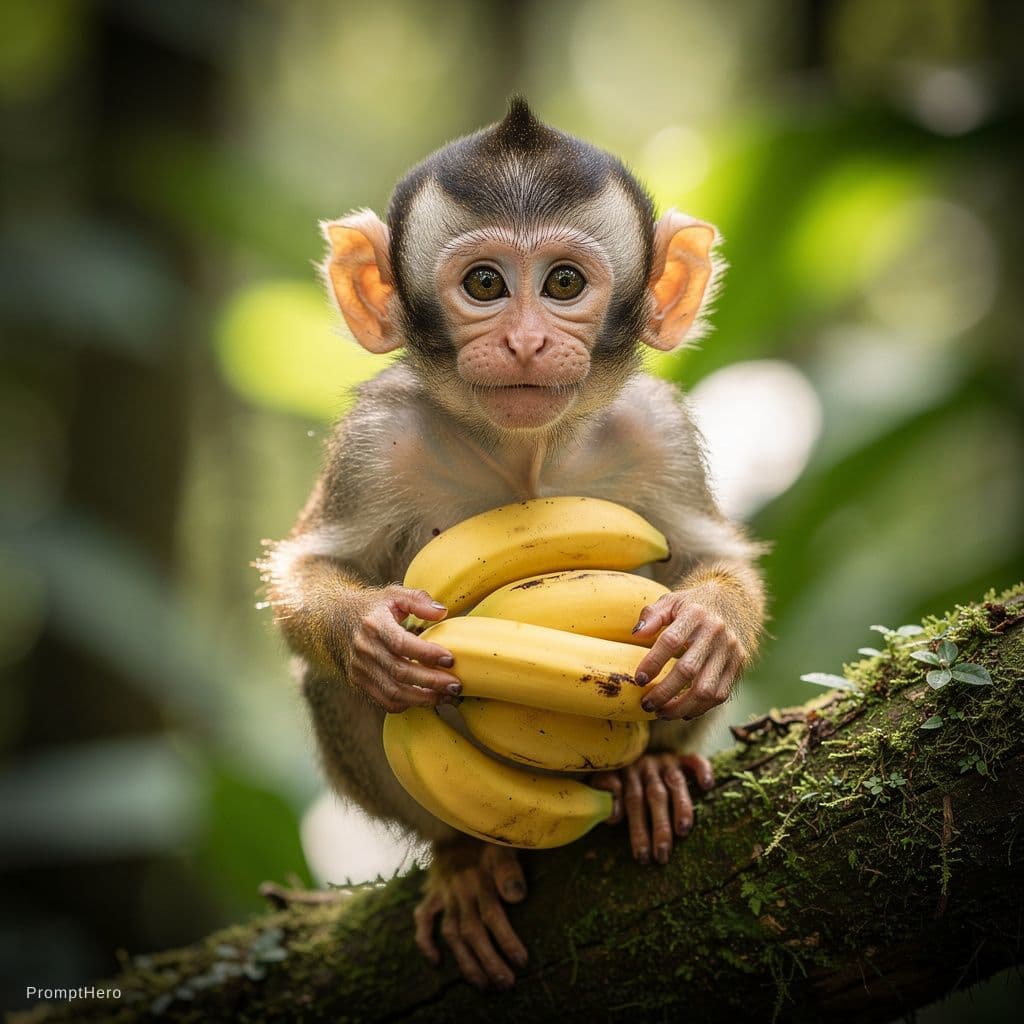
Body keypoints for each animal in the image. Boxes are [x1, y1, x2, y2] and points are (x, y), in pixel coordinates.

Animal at [263, 98, 765, 992]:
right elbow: (311, 566)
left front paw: (708, 628)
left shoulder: (659, 431)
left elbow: (716, 557)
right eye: (485, 285)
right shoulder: (375, 442)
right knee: (338, 691)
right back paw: (462, 858)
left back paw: (647, 775)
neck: (524, 451)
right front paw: (370, 635)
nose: (527, 341)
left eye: (563, 283)